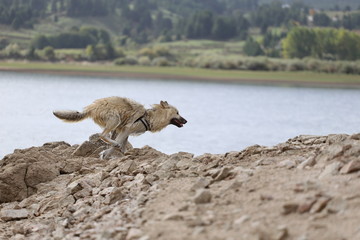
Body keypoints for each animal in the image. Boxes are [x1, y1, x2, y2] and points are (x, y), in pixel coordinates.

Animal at [54, 96, 188, 158]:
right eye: (177, 112)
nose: (186, 121)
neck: (149, 117)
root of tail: (90, 108)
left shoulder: (125, 131)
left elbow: (123, 145)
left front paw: (121, 154)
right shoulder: (126, 129)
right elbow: (117, 144)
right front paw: (106, 154)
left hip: (114, 123)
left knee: (106, 136)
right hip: (115, 119)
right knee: (102, 135)